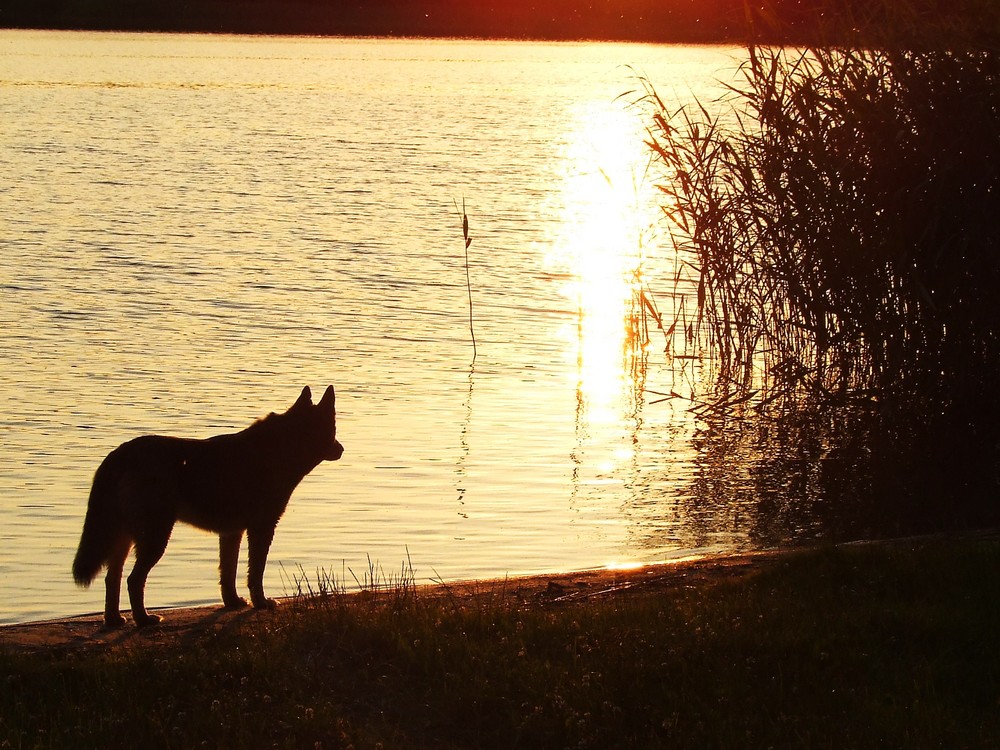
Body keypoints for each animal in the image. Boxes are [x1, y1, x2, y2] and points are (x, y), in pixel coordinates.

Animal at [71, 388, 344, 628]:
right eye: (333, 428)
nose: (342, 449)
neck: (280, 448)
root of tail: (119, 454)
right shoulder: (262, 528)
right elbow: (255, 573)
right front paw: (261, 602)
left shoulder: (232, 533)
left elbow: (228, 574)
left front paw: (233, 602)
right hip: (154, 538)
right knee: (133, 580)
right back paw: (143, 620)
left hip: (126, 537)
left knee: (112, 578)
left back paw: (114, 620)